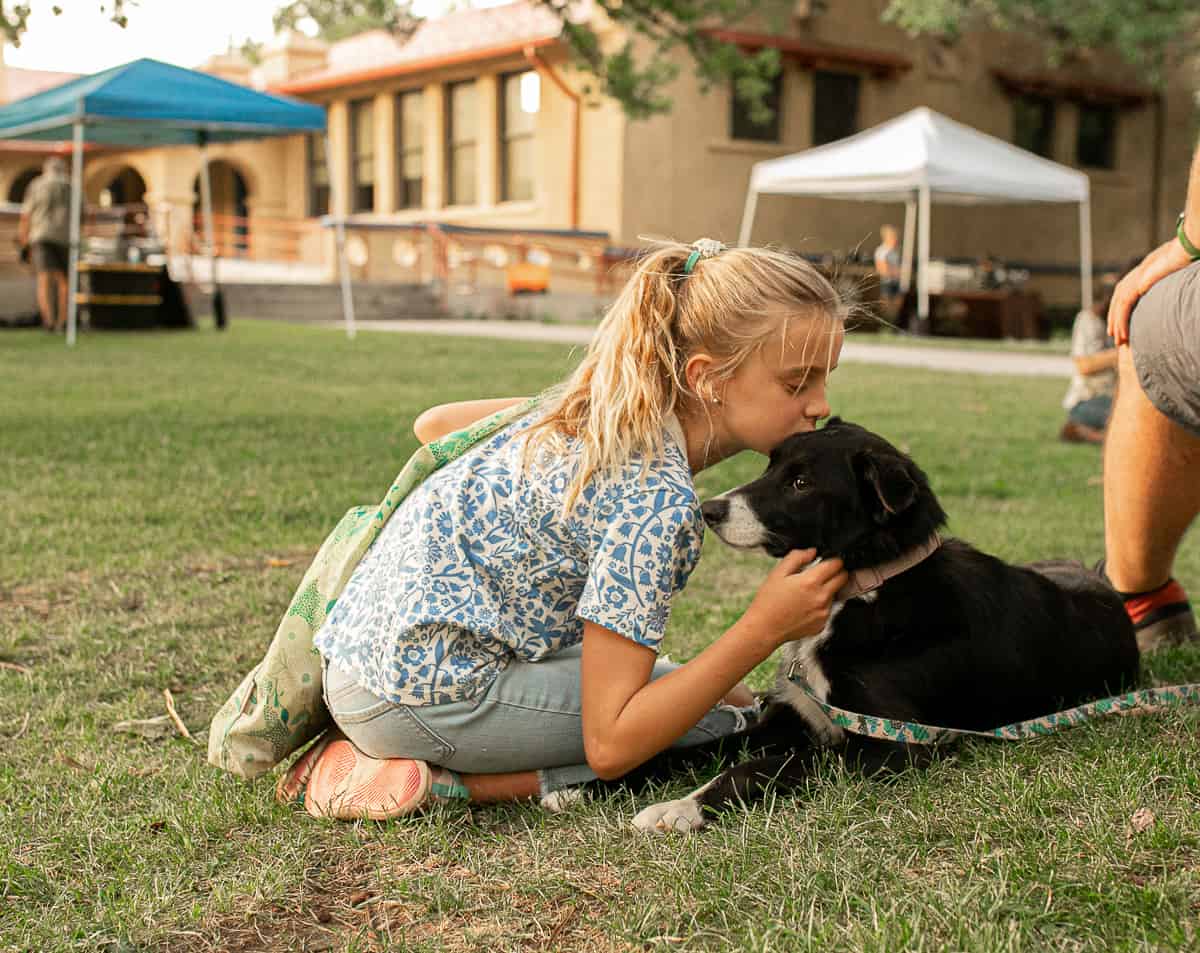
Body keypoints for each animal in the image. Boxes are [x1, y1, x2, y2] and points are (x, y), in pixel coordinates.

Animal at [633, 420, 1137, 825]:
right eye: (770, 466)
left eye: (801, 482)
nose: (710, 510)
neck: (865, 587)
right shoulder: (794, 714)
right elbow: (702, 747)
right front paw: (628, 777)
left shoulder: (888, 745)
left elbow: (766, 766)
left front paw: (680, 808)